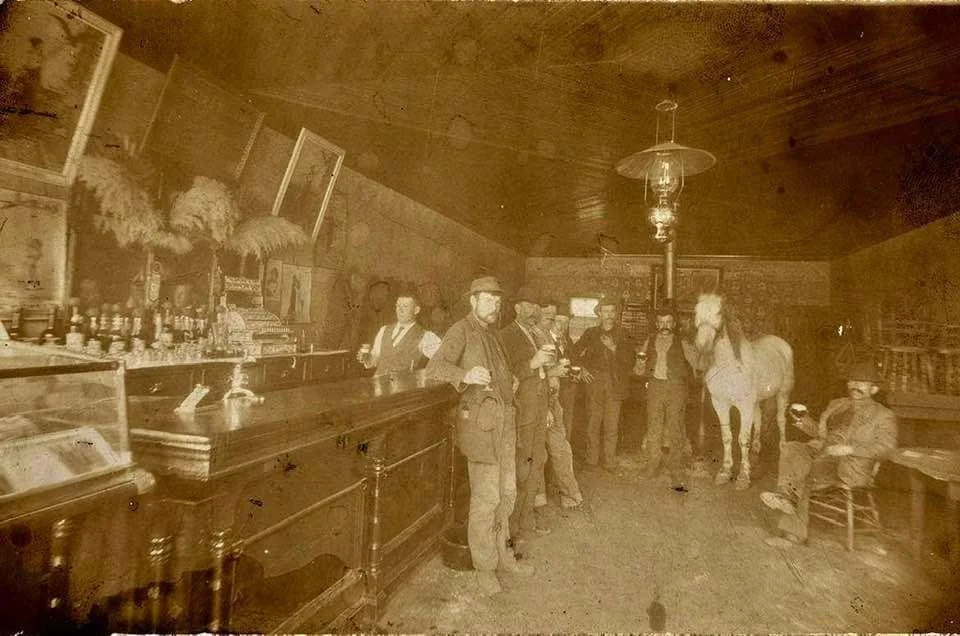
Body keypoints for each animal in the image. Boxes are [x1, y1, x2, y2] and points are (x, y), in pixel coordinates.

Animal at [688, 290, 796, 490]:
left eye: (719, 314)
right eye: (696, 312)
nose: (702, 361)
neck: (729, 366)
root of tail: (781, 343)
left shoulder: (744, 406)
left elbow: (742, 439)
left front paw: (743, 477)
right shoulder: (720, 404)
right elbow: (727, 437)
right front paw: (725, 471)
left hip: (782, 395)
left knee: (780, 419)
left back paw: (783, 447)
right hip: (757, 400)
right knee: (759, 419)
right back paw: (756, 447)